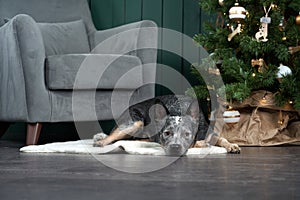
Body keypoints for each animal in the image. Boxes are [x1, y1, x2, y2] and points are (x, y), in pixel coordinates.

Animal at [94, 94, 241, 155]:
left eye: (186, 134)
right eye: (167, 133)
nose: (175, 148)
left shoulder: (209, 132)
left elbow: (222, 138)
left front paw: (232, 145)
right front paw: (203, 144)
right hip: (135, 122)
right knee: (113, 137)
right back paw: (100, 142)